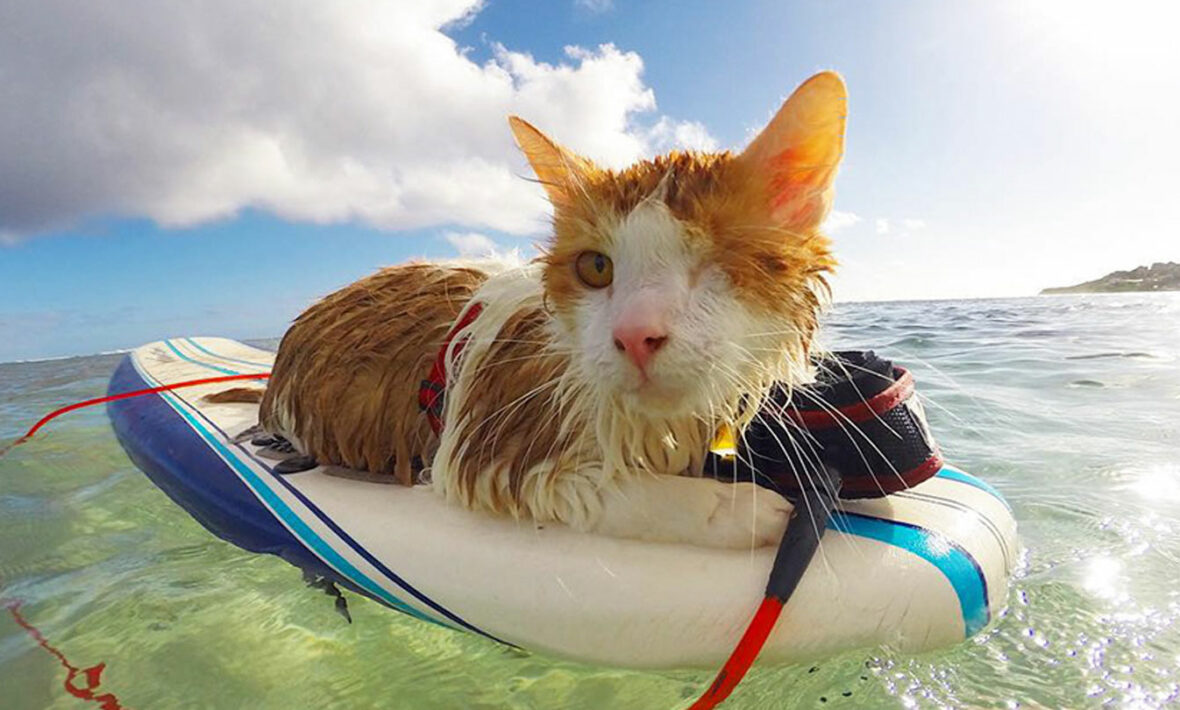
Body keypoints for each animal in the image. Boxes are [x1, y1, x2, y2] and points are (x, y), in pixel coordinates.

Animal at [253, 71, 844, 547]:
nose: (634, 336)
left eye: (716, 260)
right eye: (596, 268)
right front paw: (738, 509)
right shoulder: (486, 456)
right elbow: (617, 492)